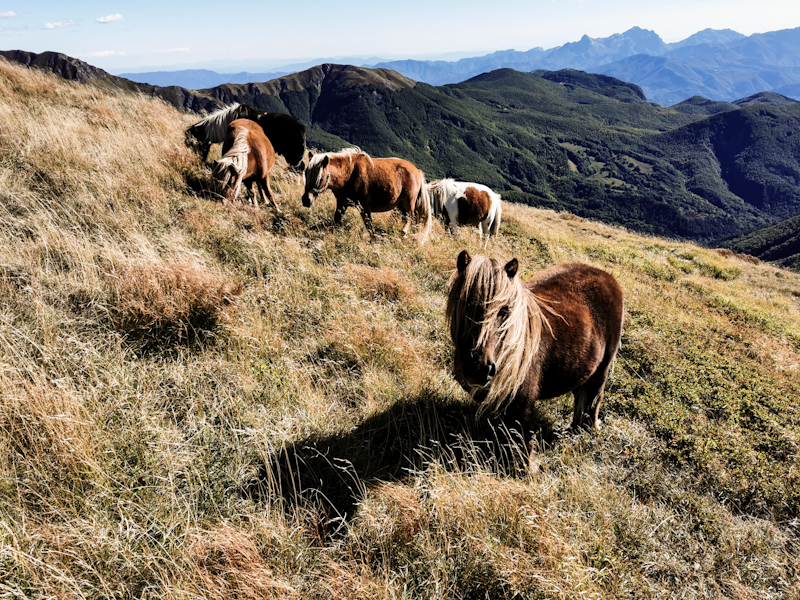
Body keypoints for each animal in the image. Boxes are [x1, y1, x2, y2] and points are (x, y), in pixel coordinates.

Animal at [300, 148, 432, 244]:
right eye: (306, 173)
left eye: (320, 178)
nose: (306, 200)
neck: (349, 174)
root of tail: (417, 171)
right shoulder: (342, 204)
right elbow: (337, 220)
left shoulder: (365, 208)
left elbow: (369, 226)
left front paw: (373, 241)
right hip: (400, 205)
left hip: (408, 203)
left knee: (411, 217)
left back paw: (404, 233)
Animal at [446, 248, 620, 468]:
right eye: (463, 303)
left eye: (504, 310)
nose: (479, 369)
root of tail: (606, 276)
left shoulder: (523, 405)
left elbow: (522, 440)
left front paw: (527, 469)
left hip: (601, 371)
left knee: (593, 400)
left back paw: (585, 432)